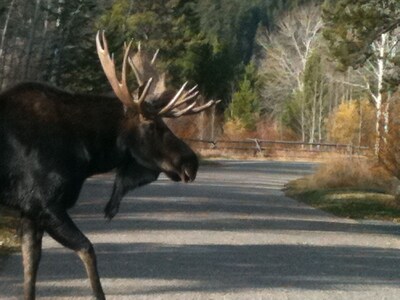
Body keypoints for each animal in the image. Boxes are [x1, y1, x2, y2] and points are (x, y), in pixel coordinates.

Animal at [0, 31, 219, 298]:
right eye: (153, 125)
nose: (191, 162)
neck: (87, 153)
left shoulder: (29, 211)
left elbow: (30, 270)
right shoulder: (45, 204)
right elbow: (88, 251)